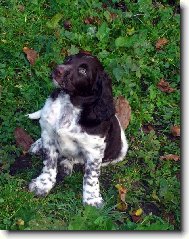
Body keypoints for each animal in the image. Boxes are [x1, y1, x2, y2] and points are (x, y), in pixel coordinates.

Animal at [27, 52, 128, 207]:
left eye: (83, 70)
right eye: (69, 59)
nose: (57, 69)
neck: (70, 104)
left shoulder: (94, 151)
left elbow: (91, 176)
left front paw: (92, 200)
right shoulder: (49, 136)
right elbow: (49, 163)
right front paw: (42, 185)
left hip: (119, 152)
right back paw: (38, 145)